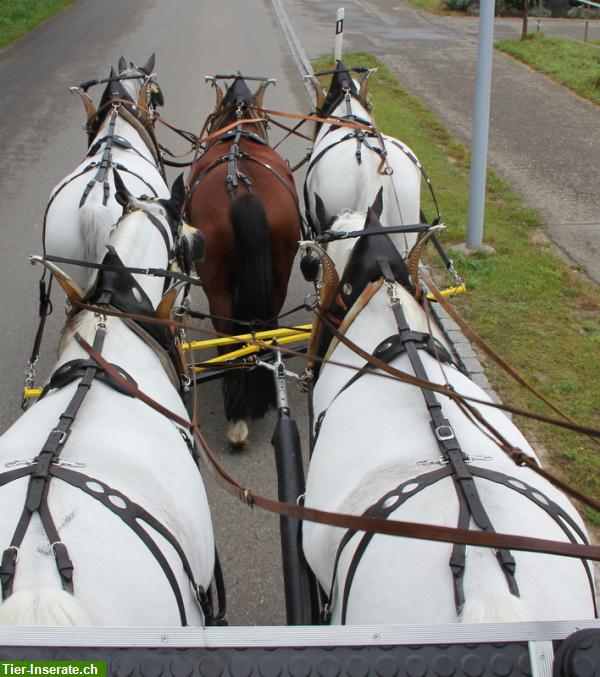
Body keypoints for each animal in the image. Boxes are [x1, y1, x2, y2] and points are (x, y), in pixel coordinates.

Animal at [186, 74, 302, 446]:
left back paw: (236, 415)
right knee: (265, 326)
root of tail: (241, 189)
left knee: (227, 334)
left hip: (217, 283)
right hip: (280, 272)